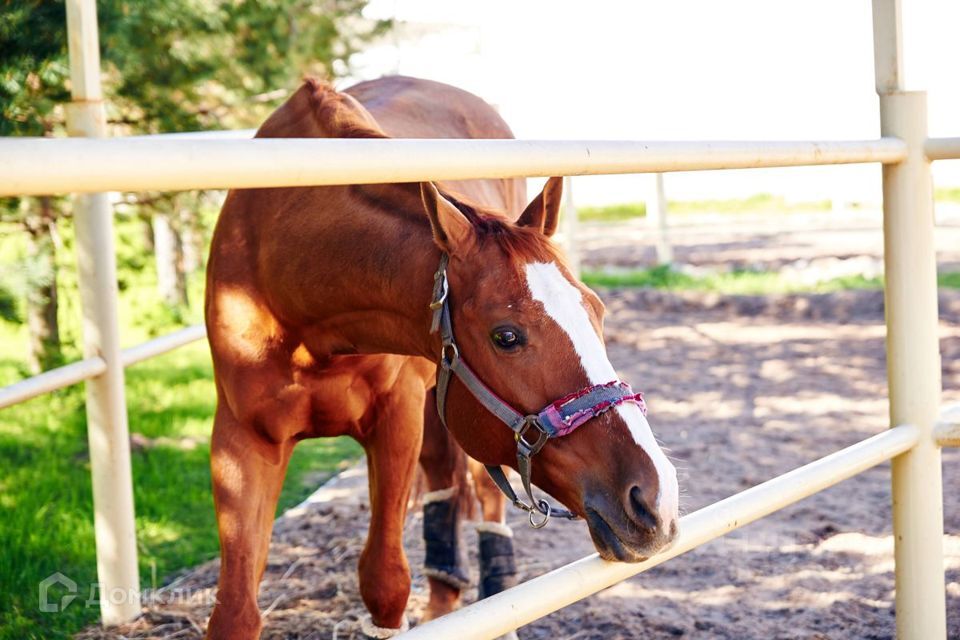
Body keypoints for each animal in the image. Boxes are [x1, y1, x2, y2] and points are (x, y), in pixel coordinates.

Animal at [205, 72, 680, 636]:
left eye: (598, 310)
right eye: (506, 336)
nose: (654, 498)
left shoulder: (396, 419)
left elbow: (385, 582)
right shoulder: (242, 439)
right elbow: (236, 610)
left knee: (485, 496)